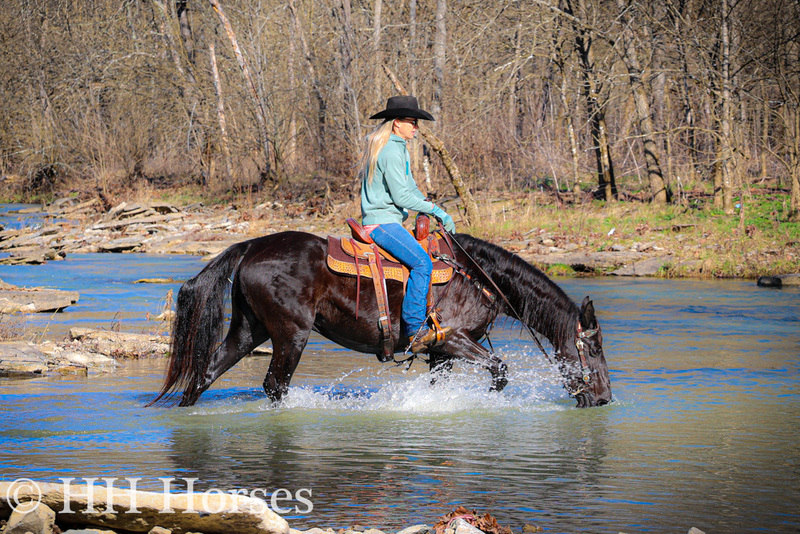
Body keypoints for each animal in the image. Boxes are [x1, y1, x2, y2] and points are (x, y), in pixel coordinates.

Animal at [150, 231, 612, 410]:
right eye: (593, 347)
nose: (605, 398)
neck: (479, 277)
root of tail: (251, 246)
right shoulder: (452, 339)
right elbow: (500, 370)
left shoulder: (441, 354)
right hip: (291, 335)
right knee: (274, 385)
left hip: (249, 330)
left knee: (205, 372)